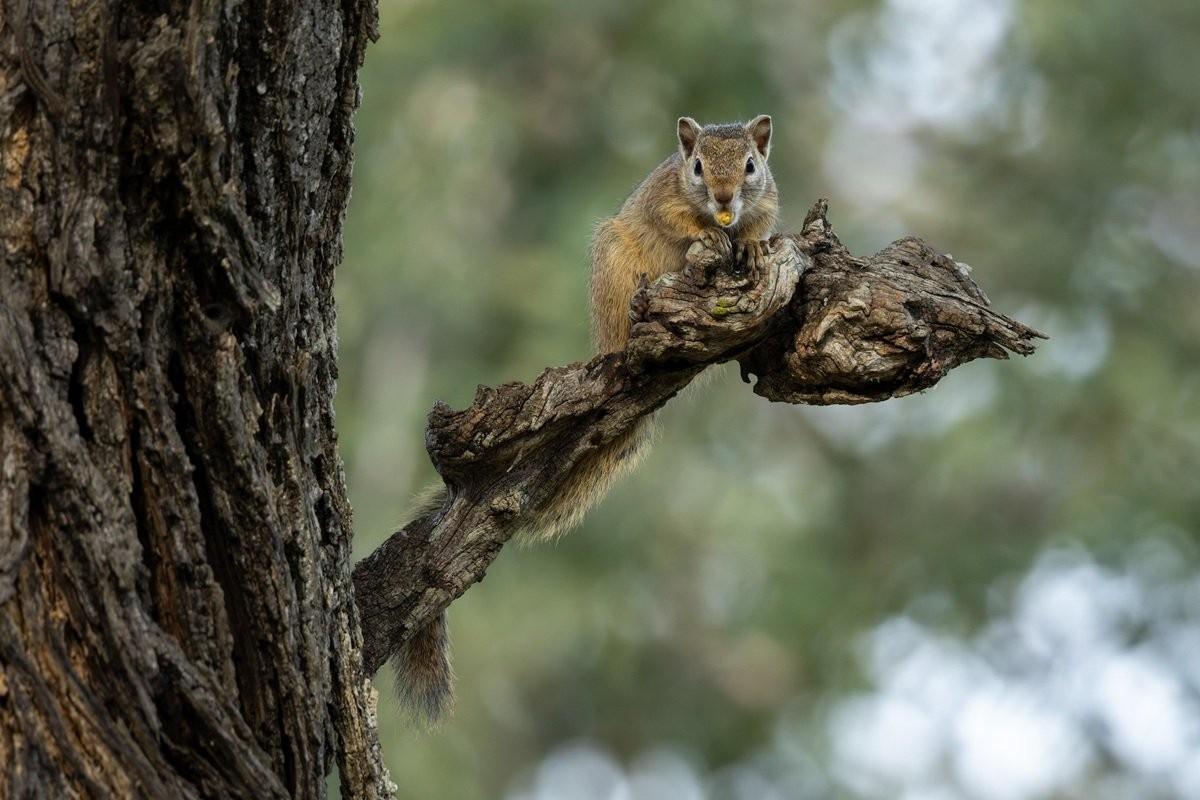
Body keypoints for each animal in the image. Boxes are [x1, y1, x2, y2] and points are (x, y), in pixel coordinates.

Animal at [393, 116, 779, 723]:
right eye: (695, 167)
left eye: (750, 166)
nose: (721, 199)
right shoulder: (662, 198)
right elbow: (674, 220)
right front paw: (708, 236)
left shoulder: (766, 203)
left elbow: (762, 227)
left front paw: (756, 247)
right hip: (616, 267)